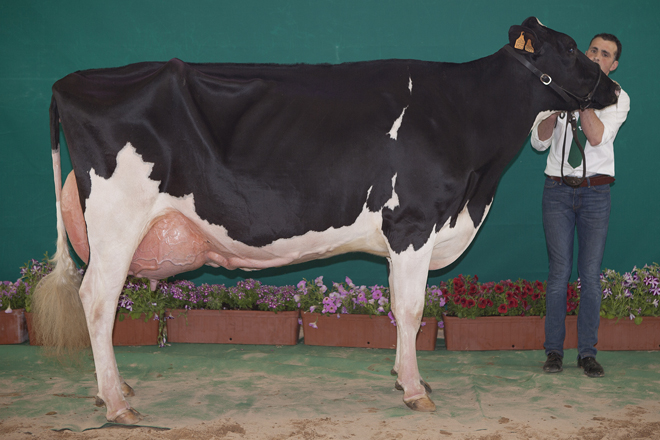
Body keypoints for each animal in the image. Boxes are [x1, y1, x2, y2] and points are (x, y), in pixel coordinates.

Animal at [32, 17, 619, 424]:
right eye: (571, 49)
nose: (614, 90)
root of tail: (72, 83)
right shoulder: (412, 225)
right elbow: (412, 311)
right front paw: (415, 389)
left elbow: (402, 308)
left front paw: (405, 379)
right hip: (116, 221)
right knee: (97, 301)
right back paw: (116, 402)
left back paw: (115, 389)